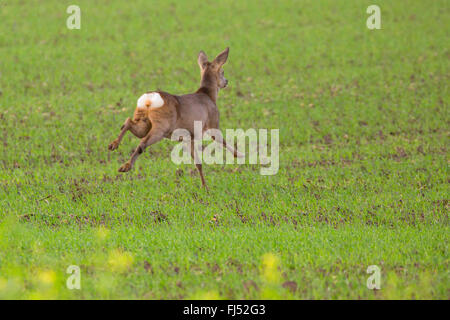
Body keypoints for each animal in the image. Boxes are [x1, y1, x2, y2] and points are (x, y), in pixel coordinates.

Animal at [107, 47, 243, 188]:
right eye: (222, 71)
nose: (226, 82)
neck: (209, 96)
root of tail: (150, 99)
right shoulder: (213, 124)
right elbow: (224, 142)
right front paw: (240, 155)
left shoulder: (189, 137)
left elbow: (198, 163)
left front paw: (204, 187)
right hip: (161, 127)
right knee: (142, 142)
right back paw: (126, 166)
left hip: (144, 121)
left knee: (128, 122)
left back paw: (113, 146)